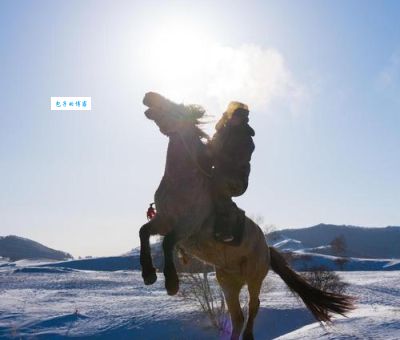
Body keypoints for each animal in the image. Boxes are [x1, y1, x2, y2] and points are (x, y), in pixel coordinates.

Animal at [139, 92, 354, 340]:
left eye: (177, 106)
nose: (149, 96)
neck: (182, 178)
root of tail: (266, 248)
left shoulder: (188, 226)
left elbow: (167, 242)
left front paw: (171, 284)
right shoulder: (164, 221)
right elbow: (144, 232)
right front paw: (148, 274)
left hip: (254, 279)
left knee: (253, 307)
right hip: (228, 283)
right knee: (237, 317)